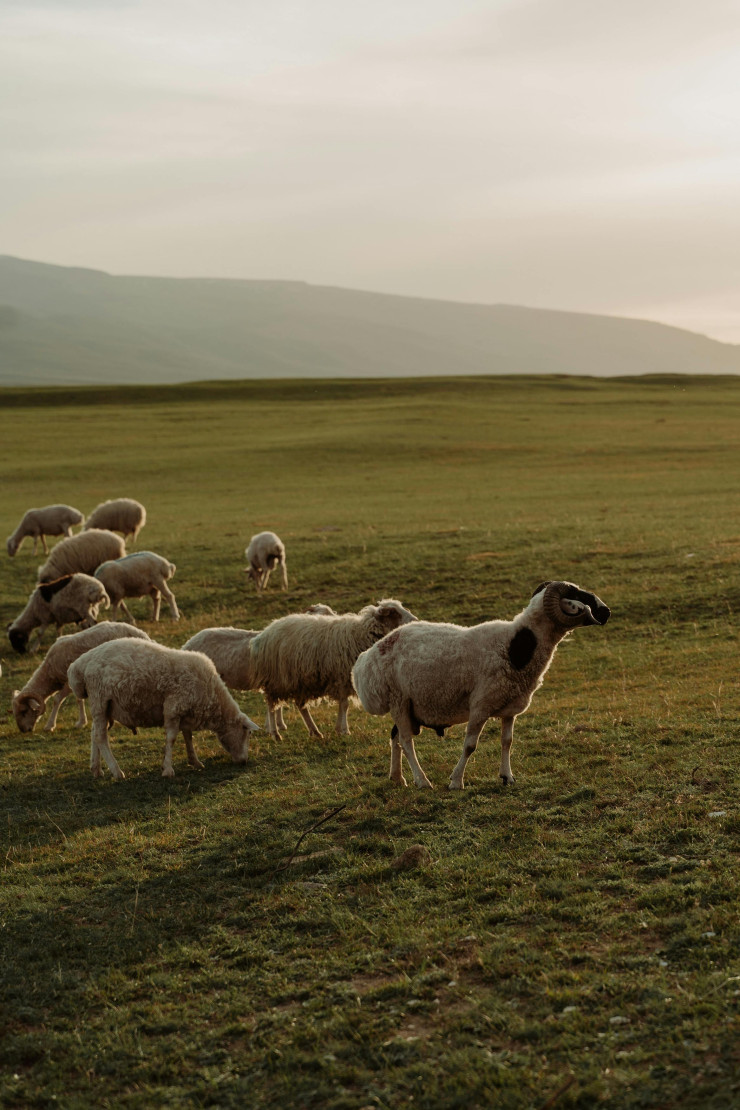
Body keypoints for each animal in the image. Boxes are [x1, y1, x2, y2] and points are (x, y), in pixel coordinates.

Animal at [11, 621, 150, 732]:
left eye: (24, 711)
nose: (23, 730)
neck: (50, 670)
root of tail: (144, 636)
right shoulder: (76, 680)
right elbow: (79, 699)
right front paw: (82, 722)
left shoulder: (68, 681)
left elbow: (57, 699)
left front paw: (50, 725)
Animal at [66, 634, 261, 781]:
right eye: (248, 733)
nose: (244, 761)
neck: (212, 695)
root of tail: (79, 665)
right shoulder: (173, 707)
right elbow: (172, 738)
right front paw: (167, 769)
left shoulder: (186, 711)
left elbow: (188, 736)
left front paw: (194, 761)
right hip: (100, 697)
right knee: (100, 736)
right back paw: (117, 771)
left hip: (103, 706)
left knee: (94, 733)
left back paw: (96, 769)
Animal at [251, 599, 419, 737]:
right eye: (393, 612)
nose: (415, 620)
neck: (361, 633)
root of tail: (264, 634)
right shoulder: (341, 676)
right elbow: (344, 705)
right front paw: (344, 730)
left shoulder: (343, 679)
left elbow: (343, 705)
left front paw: (340, 728)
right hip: (277, 678)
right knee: (271, 704)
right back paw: (274, 732)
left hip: (298, 681)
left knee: (299, 706)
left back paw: (314, 731)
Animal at [352, 581, 612, 790]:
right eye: (578, 595)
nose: (607, 611)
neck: (517, 646)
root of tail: (366, 660)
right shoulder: (480, 705)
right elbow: (470, 745)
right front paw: (456, 782)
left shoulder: (510, 708)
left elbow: (507, 742)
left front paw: (507, 777)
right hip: (398, 699)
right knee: (406, 742)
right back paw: (422, 781)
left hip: (407, 706)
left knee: (395, 737)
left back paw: (398, 778)